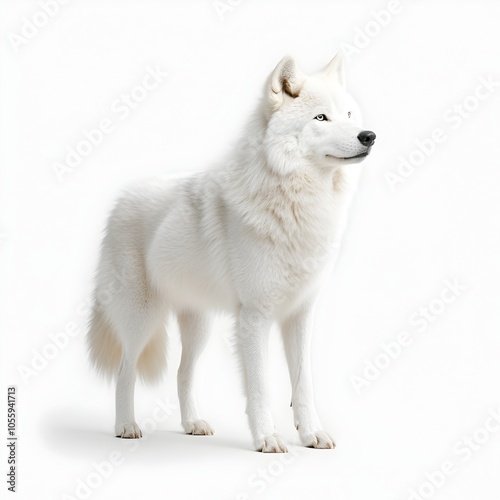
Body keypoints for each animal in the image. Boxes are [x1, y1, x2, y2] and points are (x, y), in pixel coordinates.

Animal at [88, 52, 376, 452]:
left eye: (349, 115)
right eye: (321, 118)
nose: (369, 136)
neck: (298, 202)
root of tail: (119, 200)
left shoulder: (300, 314)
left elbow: (303, 384)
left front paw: (311, 434)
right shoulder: (254, 317)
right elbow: (261, 387)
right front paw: (268, 438)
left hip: (199, 327)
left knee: (183, 373)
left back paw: (192, 424)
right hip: (141, 320)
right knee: (124, 371)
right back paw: (127, 426)